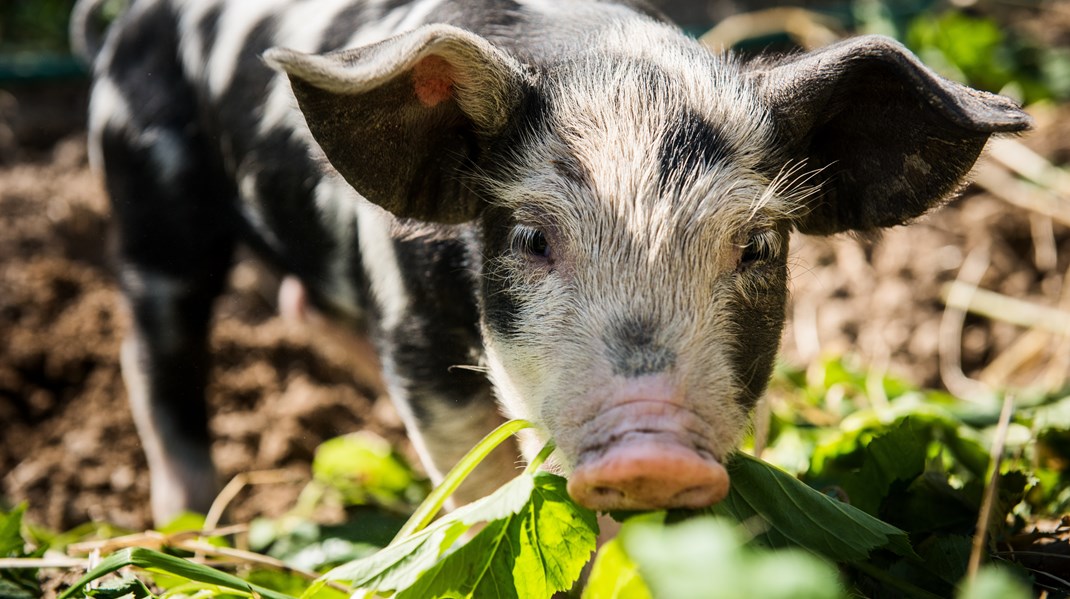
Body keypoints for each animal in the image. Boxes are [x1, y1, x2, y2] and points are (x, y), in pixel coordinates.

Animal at [73, 0, 1027, 524]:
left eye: (756, 245)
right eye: (532, 239)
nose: (651, 446)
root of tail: (122, 25)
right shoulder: (416, 342)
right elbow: (480, 473)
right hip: (150, 185)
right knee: (150, 345)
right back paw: (189, 524)